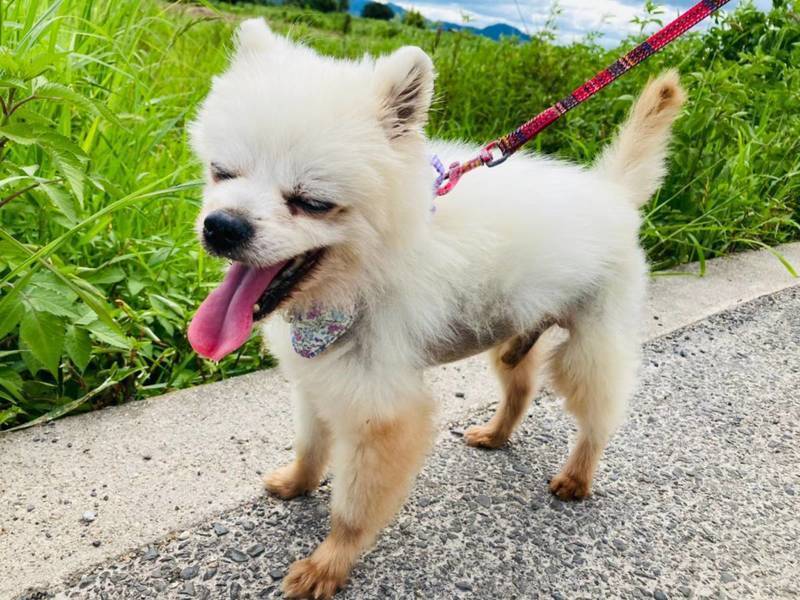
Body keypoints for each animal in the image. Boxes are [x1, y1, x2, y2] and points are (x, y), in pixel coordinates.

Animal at [187, 18, 685, 599]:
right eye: (223, 172)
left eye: (311, 202)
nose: (222, 226)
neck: (361, 277)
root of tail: (614, 193)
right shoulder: (317, 377)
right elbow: (311, 446)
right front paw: (296, 483)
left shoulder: (381, 410)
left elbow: (353, 508)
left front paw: (327, 564)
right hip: (510, 333)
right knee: (520, 385)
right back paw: (496, 433)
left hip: (592, 346)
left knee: (598, 416)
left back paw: (578, 475)